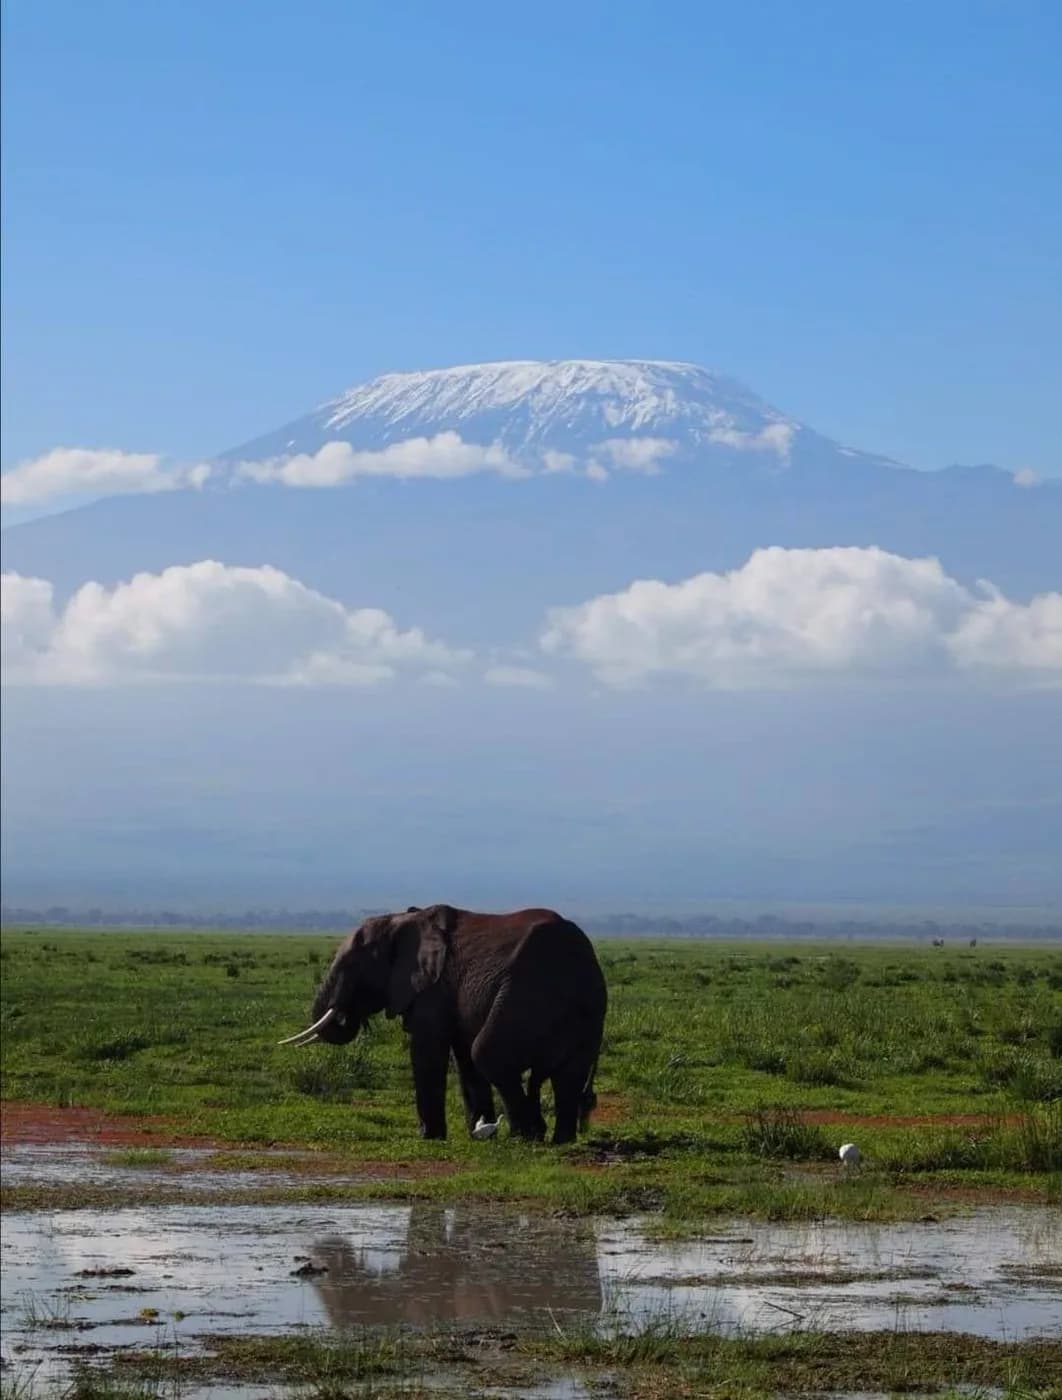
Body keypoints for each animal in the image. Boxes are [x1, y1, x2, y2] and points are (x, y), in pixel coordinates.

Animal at [280, 903, 607, 1144]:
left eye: (353, 964)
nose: (347, 1014)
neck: (402, 919)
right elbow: (462, 1056)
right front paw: (478, 1134)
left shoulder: (433, 987)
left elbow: (429, 1049)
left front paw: (429, 1137)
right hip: (586, 1016)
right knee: (566, 1076)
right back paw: (557, 1140)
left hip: (527, 994)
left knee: (489, 1054)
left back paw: (526, 1136)